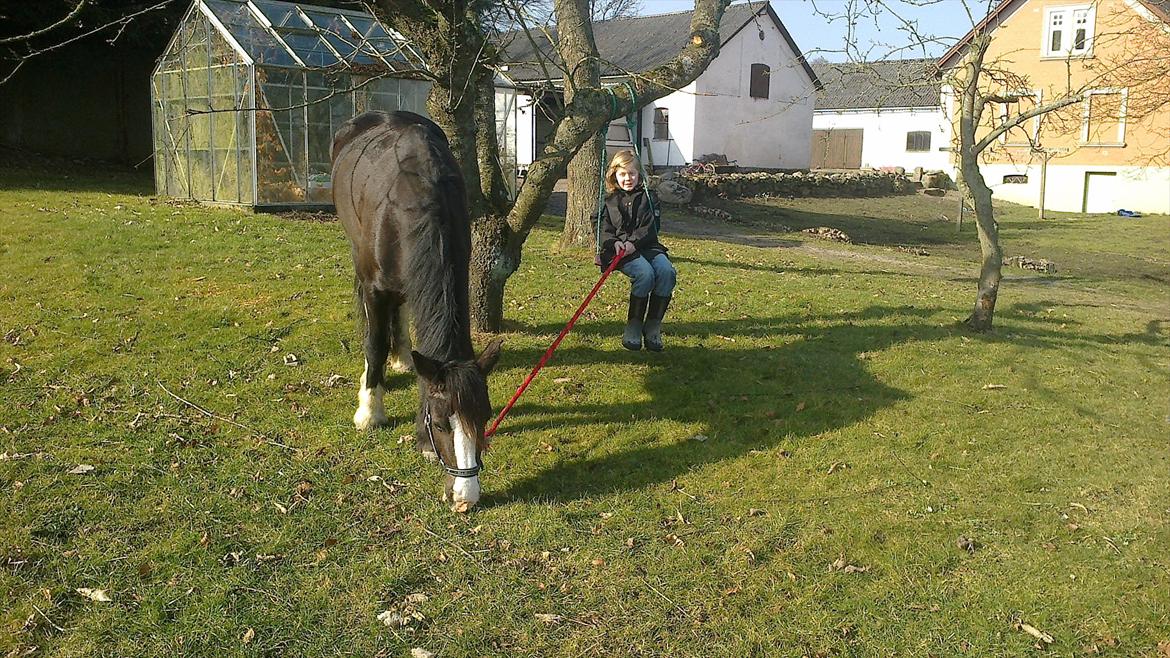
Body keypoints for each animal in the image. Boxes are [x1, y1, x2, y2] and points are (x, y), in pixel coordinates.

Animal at [329, 110, 503, 510]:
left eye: (484, 417)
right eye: (439, 424)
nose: (465, 497)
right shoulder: (374, 288)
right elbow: (374, 342)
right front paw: (370, 410)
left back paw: (403, 355)